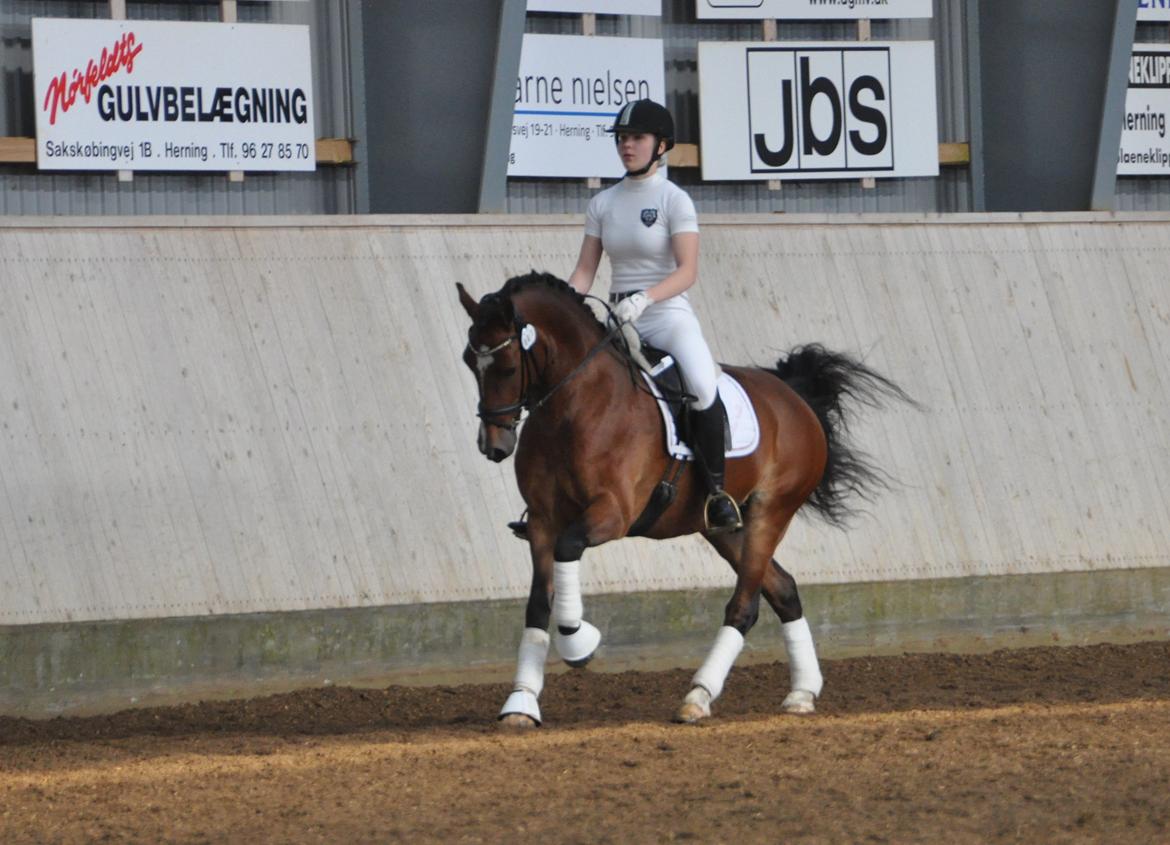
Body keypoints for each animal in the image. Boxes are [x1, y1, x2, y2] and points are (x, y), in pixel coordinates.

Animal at [453, 270, 903, 725]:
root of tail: (793, 397)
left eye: (508, 367)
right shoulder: (543, 521)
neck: (573, 404)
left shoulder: (612, 514)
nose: (493, 445)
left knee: (745, 605)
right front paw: (521, 701)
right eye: (469, 362)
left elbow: (569, 549)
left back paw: (699, 696)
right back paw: (801, 693)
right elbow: (536, 605)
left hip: (770, 512)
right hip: (724, 528)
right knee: (784, 589)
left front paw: (579, 641)